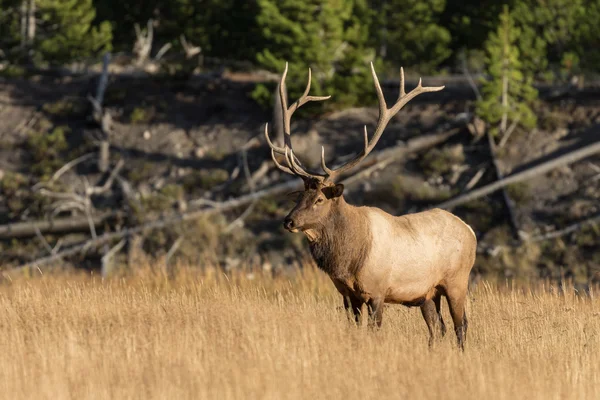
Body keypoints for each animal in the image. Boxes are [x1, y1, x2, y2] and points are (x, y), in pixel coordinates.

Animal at [264, 61, 476, 348]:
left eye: (319, 199)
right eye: (299, 197)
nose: (288, 221)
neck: (347, 259)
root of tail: (470, 230)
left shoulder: (377, 291)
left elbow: (375, 330)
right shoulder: (348, 294)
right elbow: (355, 327)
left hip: (457, 280)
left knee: (460, 325)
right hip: (428, 293)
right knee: (437, 328)